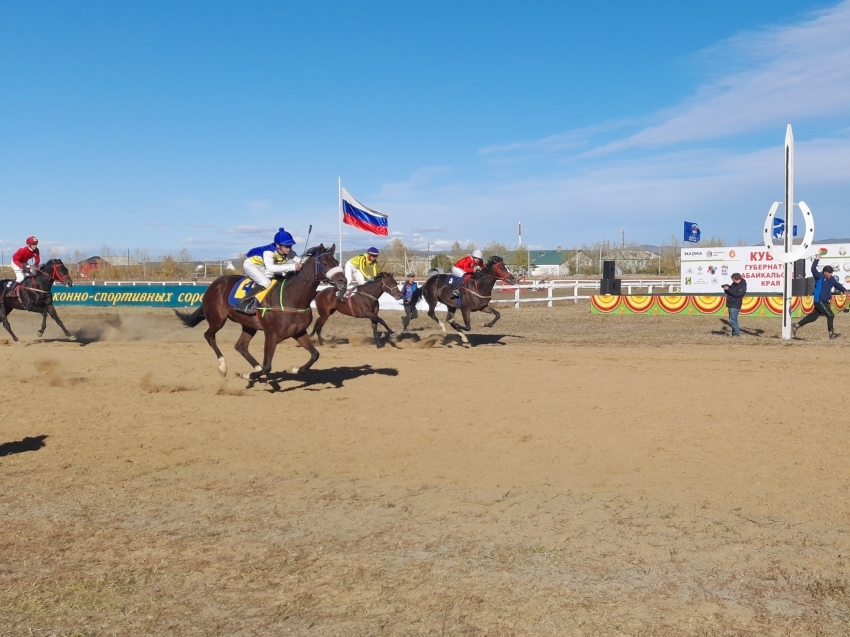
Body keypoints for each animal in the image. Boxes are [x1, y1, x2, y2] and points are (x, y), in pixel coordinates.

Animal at [172, 245, 344, 380]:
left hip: (249, 325)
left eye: (337, 262)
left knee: (240, 346)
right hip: (217, 319)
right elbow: (267, 366)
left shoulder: (298, 332)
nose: (343, 281)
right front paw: (249, 375)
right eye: (324, 263)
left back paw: (255, 367)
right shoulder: (271, 334)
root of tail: (214, 284)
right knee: (209, 336)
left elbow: (315, 354)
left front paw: (296, 369)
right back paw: (223, 367)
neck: (291, 296)